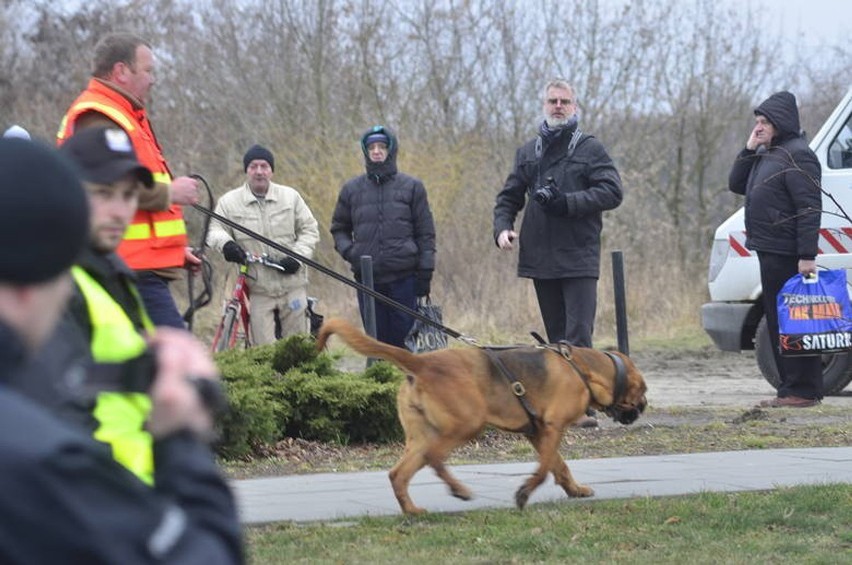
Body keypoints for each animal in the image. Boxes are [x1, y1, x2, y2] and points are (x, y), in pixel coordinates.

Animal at [316, 318, 648, 516]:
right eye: (642, 389)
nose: (644, 405)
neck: (582, 369)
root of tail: (421, 363)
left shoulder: (537, 432)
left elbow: (559, 466)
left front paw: (575, 490)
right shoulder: (552, 429)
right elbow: (544, 470)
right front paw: (524, 494)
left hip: (421, 437)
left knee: (398, 474)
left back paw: (412, 511)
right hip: (465, 425)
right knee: (436, 458)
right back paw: (458, 490)